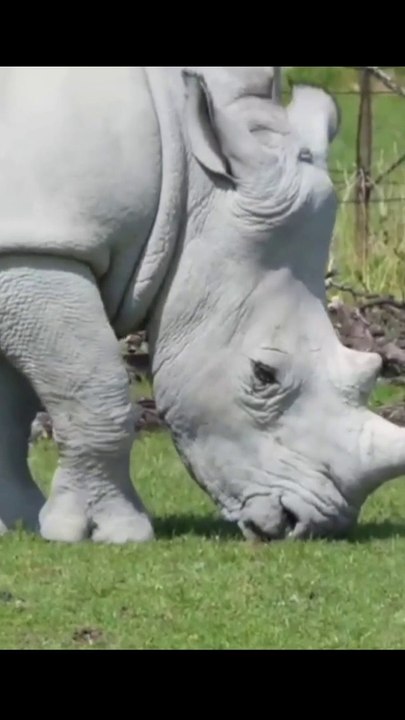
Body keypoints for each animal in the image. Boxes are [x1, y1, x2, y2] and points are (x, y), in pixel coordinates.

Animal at [0, 65, 402, 545]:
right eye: (263, 375)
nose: (305, 524)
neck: (188, 178)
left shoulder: (33, 246)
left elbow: (13, 403)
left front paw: (18, 521)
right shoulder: (44, 249)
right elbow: (96, 388)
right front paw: (111, 533)